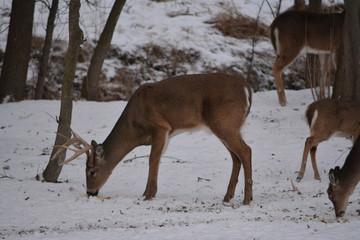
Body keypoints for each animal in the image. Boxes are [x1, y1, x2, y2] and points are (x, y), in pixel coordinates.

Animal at [51, 72, 253, 204]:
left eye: (92, 172)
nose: (90, 192)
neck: (134, 128)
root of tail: (247, 87)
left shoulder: (160, 128)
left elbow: (152, 160)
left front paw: (148, 195)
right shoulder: (167, 134)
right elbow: (157, 159)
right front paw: (149, 193)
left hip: (224, 122)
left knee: (245, 151)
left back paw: (247, 199)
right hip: (227, 126)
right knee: (236, 157)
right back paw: (228, 197)